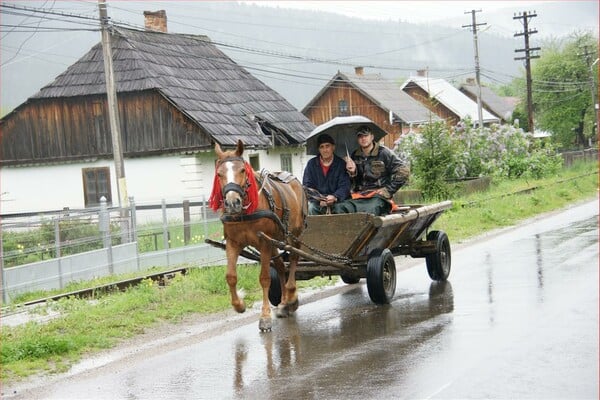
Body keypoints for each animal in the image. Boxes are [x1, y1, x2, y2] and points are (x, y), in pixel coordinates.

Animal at [209, 140, 308, 332]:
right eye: (219, 173)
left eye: (242, 170)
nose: (232, 203)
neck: (244, 213)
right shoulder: (233, 242)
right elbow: (230, 276)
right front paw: (239, 305)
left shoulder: (264, 243)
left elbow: (264, 278)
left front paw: (265, 317)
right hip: (274, 240)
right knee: (280, 265)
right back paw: (283, 302)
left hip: (293, 234)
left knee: (293, 259)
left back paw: (291, 296)